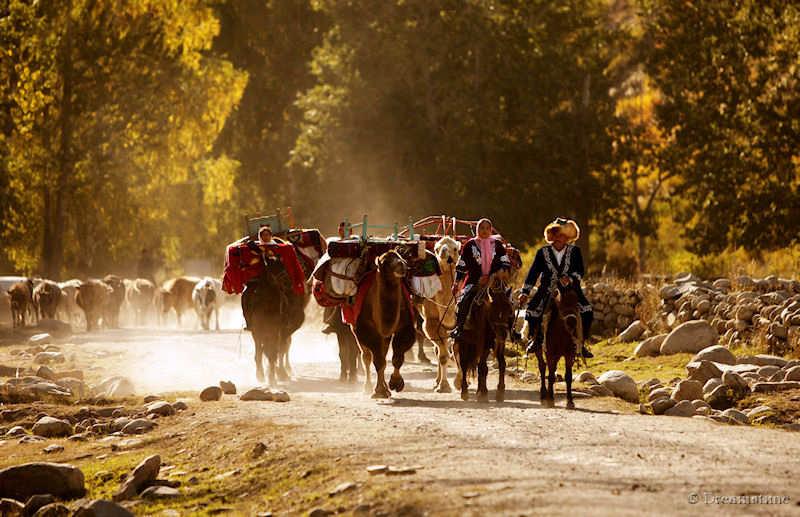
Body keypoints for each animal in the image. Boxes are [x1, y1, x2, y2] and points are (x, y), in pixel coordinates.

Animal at [352, 250, 416, 400]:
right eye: (385, 261)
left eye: (400, 257)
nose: (402, 264)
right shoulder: (366, 330)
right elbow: (378, 360)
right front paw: (379, 391)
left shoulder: (405, 326)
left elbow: (397, 357)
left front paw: (396, 383)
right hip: (356, 332)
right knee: (367, 357)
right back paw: (368, 387)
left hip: (385, 337)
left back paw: (386, 388)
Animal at [418, 237, 462, 392]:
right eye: (437, 248)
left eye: (455, 248)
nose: (444, 253)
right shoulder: (431, 323)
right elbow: (443, 355)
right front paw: (444, 386)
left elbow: (457, 351)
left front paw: (459, 382)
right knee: (438, 350)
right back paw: (437, 381)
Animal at [456, 272, 512, 402]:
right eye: (493, 310)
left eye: (509, 310)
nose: (503, 334)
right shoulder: (480, 343)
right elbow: (479, 367)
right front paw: (482, 393)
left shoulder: (490, 344)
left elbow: (495, 365)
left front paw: (498, 392)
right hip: (464, 342)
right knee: (464, 364)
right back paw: (465, 391)